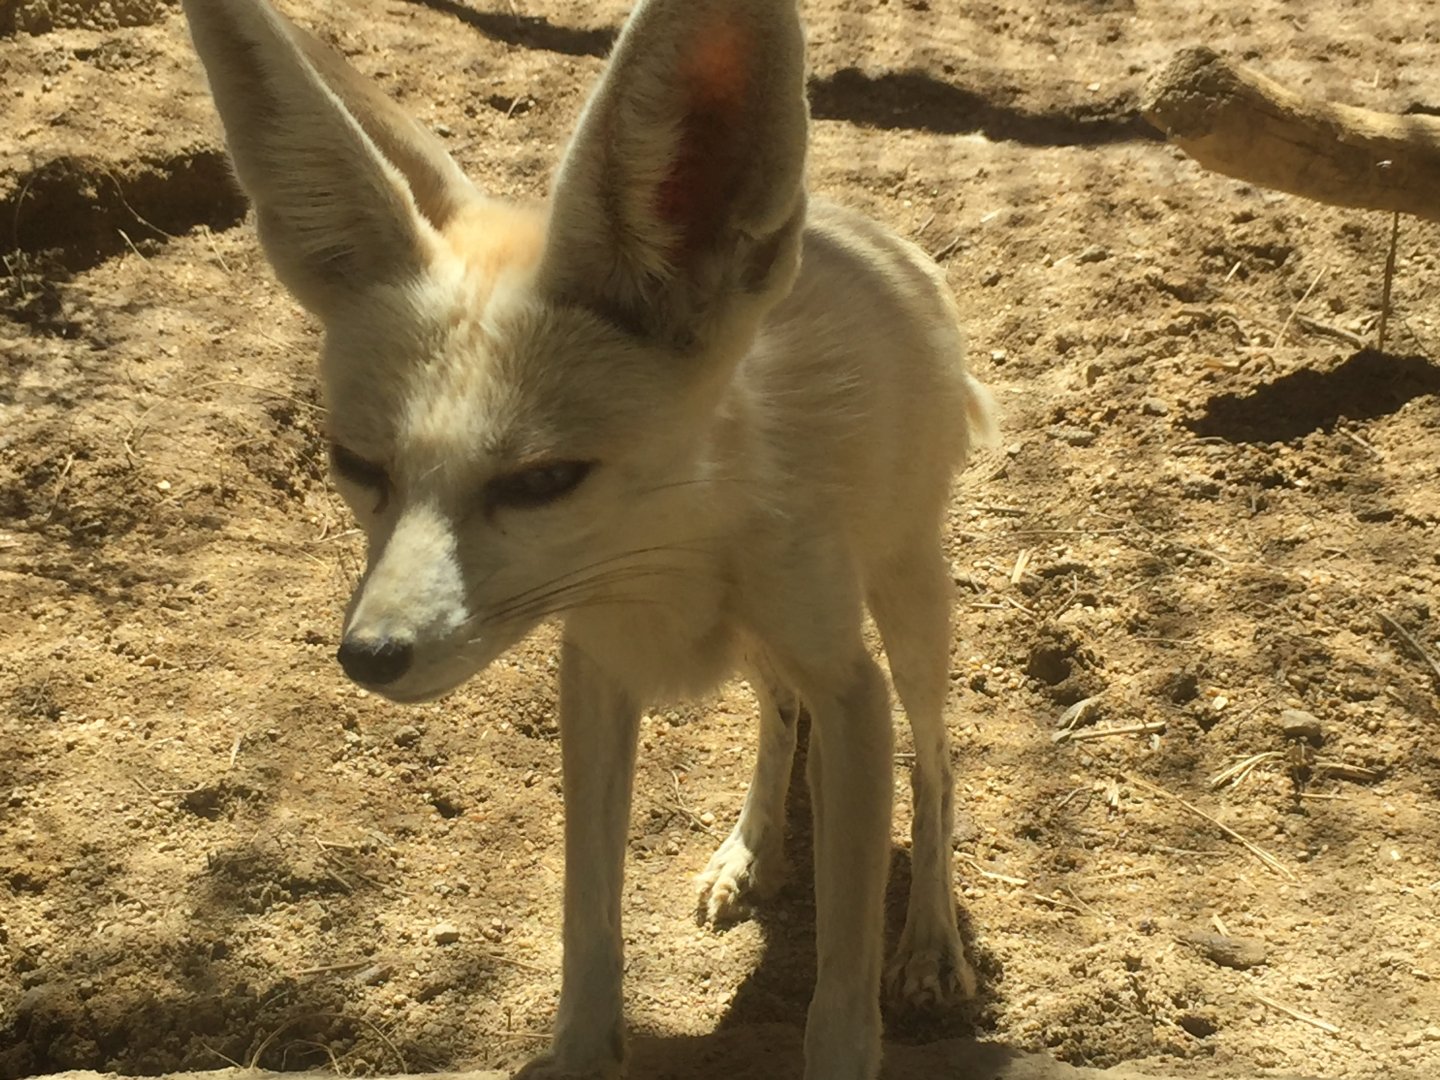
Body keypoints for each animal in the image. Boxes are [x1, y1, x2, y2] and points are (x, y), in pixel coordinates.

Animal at [181, 0, 996, 1077]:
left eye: (541, 482)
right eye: (357, 466)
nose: (369, 656)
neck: (669, 565)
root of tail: (865, 231)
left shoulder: (849, 687)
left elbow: (841, 989)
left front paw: (867, 995)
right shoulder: (597, 670)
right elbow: (588, 913)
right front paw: (581, 1046)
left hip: (908, 612)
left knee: (938, 766)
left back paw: (932, 943)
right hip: (781, 649)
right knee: (777, 717)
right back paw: (751, 851)